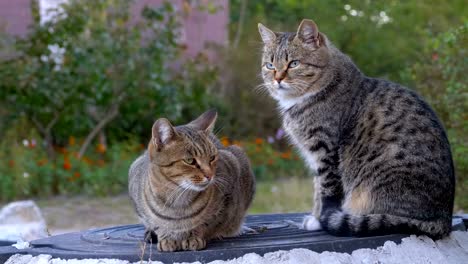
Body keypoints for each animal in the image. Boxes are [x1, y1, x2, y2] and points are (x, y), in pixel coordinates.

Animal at [128, 110, 256, 252]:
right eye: (190, 161)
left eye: (212, 158)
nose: (210, 175)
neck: (177, 200)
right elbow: (156, 224)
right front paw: (166, 237)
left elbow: (206, 223)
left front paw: (192, 237)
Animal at [258, 18, 456, 237]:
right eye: (269, 65)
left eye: (294, 63)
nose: (277, 79)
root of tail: (443, 219)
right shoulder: (314, 156)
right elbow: (317, 189)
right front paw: (315, 215)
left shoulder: (325, 150)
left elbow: (326, 190)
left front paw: (319, 219)